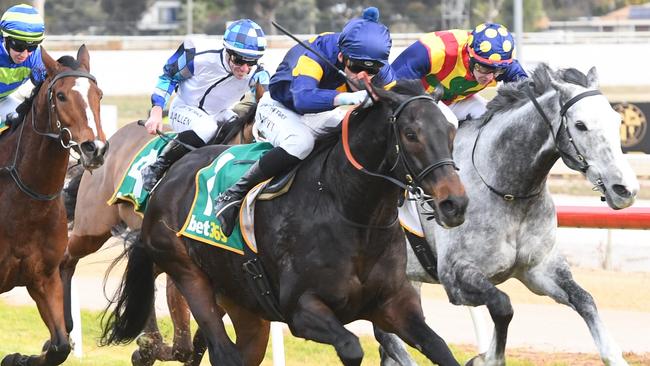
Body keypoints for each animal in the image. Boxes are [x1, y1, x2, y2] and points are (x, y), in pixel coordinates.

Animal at [0, 45, 106, 366]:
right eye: (60, 95)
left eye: (99, 94)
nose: (95, 148)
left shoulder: (44, 278)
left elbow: (60, 345)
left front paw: (18, 357)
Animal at [59, 88, 260, 364]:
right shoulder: (180, 263)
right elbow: (184, 345)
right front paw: (147, 348)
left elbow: (197, 343)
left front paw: (147, 347)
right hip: (92, 228)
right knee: (67, 258)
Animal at [98, 81, 468, 366]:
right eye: (411, 134)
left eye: (451, 131)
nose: (455, 203)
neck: (350, 211)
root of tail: (169, 176)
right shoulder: (301, 310)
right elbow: (351, 347)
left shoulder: (393, 304)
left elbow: (440, 348)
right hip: (189, 274)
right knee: (221, 351)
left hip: (244, 304)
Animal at [374, 63, 636, 366]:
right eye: (580, 125)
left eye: (617, 121)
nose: (626, 189)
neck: (506, 190)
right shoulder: (457, 276)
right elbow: (502, 305)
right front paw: (485, 358)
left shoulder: (539, 269)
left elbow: (586, 301)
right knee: (389, 337)